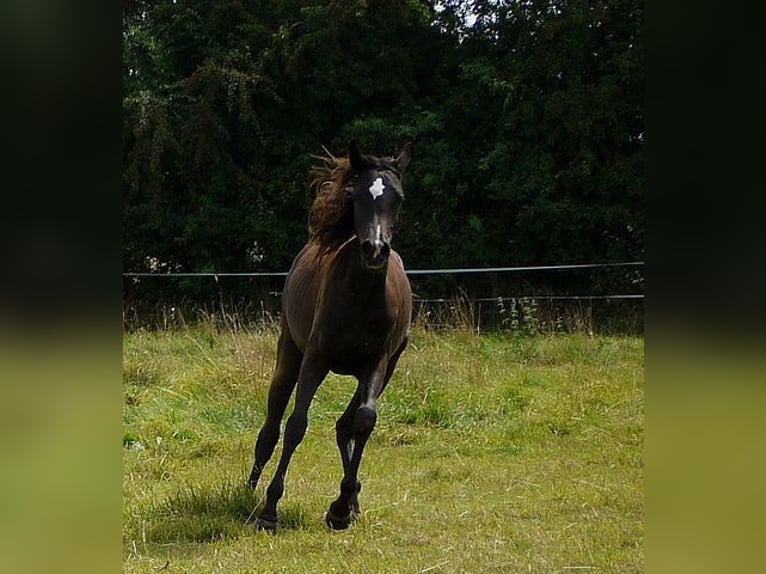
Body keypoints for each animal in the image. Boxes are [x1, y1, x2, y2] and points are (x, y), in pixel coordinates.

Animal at [248, 141, 414, 536]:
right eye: (356, 195)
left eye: (398, 198)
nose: (374, 249)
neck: (360, 297)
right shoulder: (315, 359)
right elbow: (296, 425)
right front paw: (269, 510)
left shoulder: (377, 363)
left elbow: (364, 421)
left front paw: (341, 508)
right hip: (289, 353)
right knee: (272, 425)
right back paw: (249, 488)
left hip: (384, 370)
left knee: (345, 425)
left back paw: (350, 501)